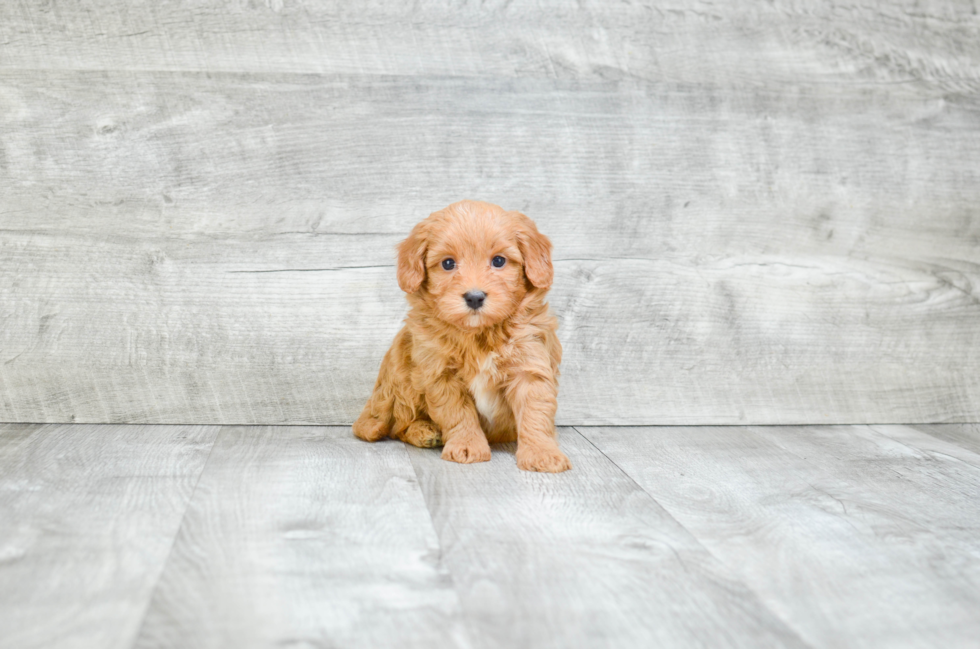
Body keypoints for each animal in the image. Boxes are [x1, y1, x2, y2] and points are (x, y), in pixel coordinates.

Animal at [352, 197, 572, 470]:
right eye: (448, 263)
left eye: (499, 261)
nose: (474, 297)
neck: (478, 335)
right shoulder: (440, 374)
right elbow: (458, 414)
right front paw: (467, 446)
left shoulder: (529, 365)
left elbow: (535, 414)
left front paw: (542, 453)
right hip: (400, 376)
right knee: (398, 426)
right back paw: (425, 431)